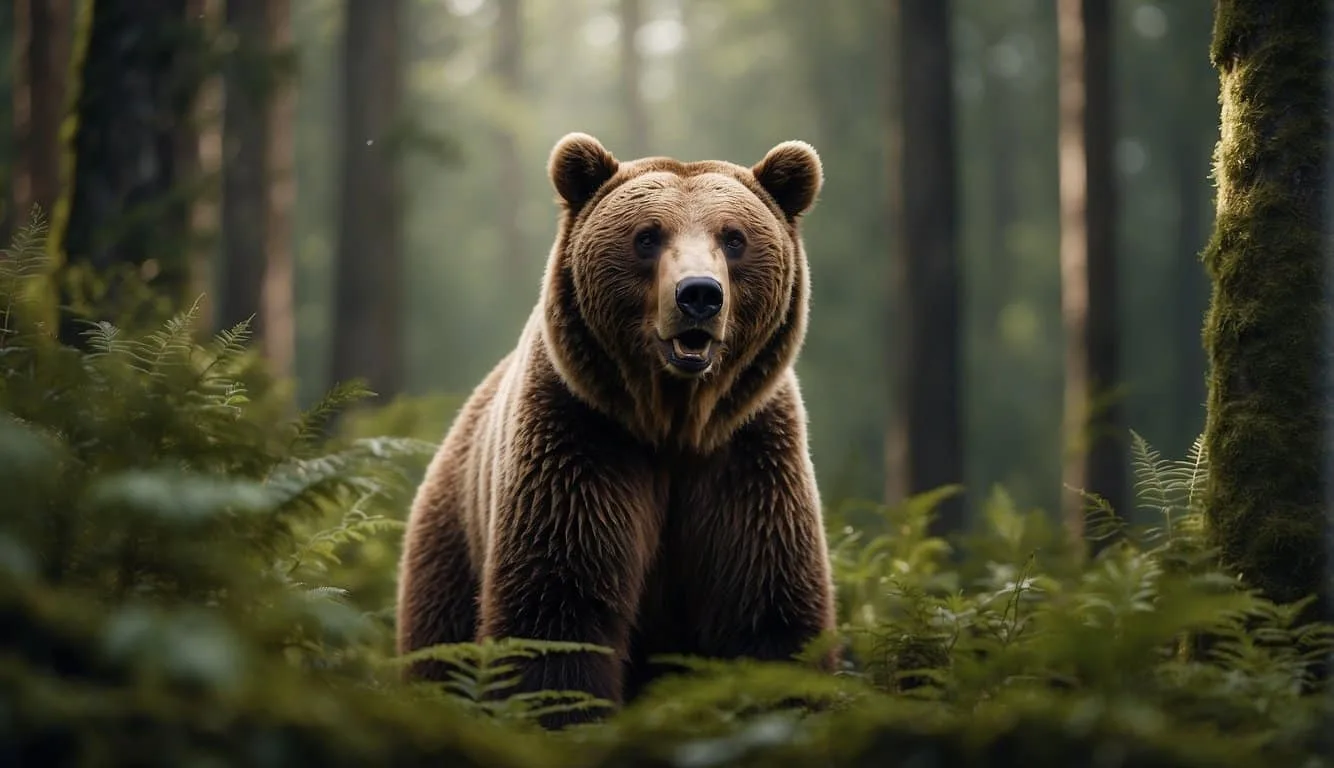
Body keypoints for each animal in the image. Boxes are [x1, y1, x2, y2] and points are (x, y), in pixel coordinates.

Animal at [394, 132, 837, 729]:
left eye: (734, 237)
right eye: (647, 236)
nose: (699, 295)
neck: (673, 422)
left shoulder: (748, 456)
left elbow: (769, 612)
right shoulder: (582, 438)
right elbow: (557, 611)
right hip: (452, 547)